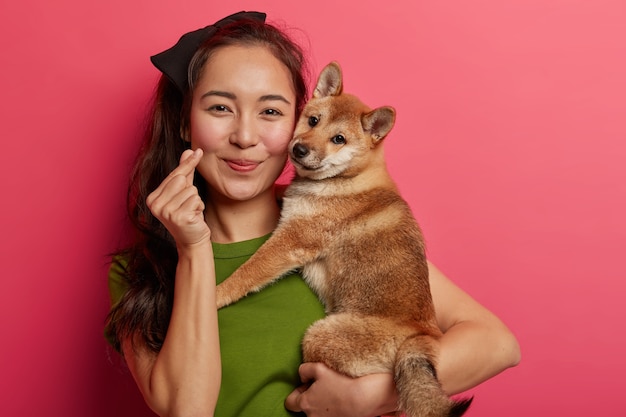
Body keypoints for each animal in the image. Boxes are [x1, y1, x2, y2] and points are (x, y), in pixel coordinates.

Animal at [217, 61, 470, 416]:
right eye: (313, 120)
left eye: (339, 139)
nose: (299, 149)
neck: (347, 179)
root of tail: (421, 336)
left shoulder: (290, 241)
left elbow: (247, 272)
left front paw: (218, 294)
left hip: (317, 336)